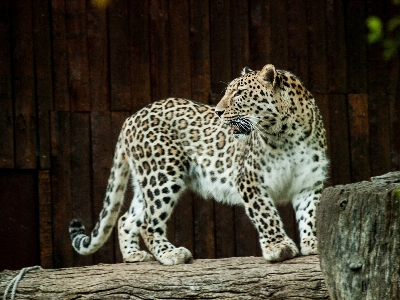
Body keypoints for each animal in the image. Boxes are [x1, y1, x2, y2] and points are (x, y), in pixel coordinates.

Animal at [69, 63, 328, 264]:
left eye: (239, 93)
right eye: (228, 92)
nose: (219, 111)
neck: (287, 134)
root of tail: (131, 118)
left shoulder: (310, 182)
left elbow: (310, 213)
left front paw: (313, 243)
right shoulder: (250, 180)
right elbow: (266, 214)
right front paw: (278, 247)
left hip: (148, 180)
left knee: (127, 219)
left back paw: (134, 255)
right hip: (163, 175)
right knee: (149, 223)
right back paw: (170, 254)